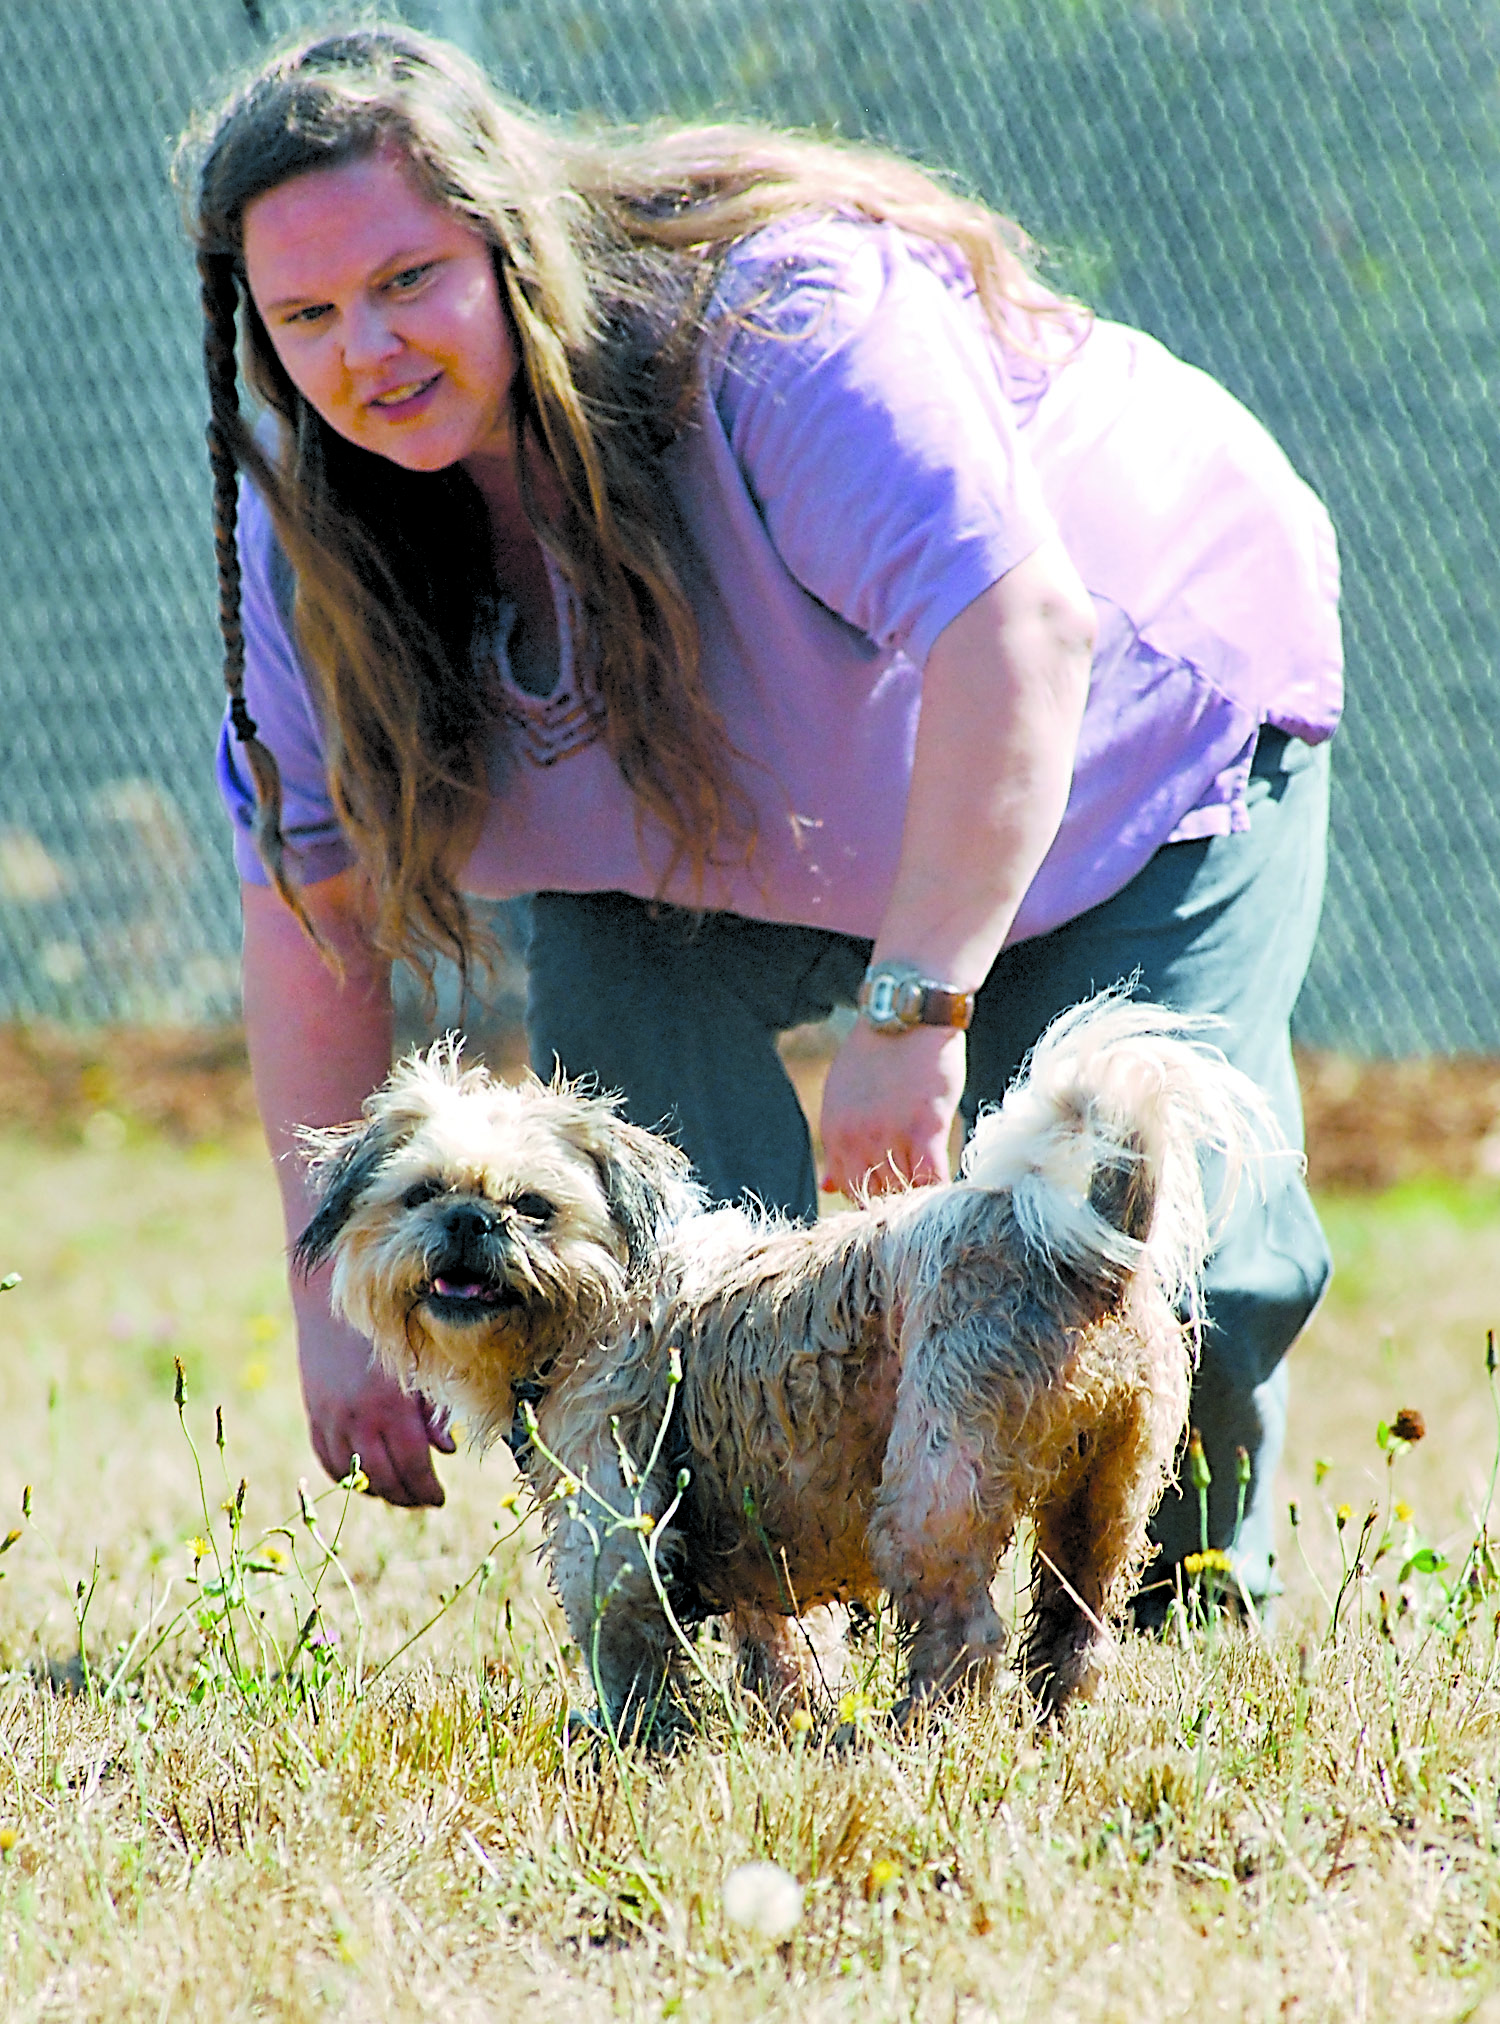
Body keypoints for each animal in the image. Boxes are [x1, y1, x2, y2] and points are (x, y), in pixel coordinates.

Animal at [295, 987, 1279, 1732]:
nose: (469, 1220)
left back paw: (907, 1733)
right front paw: (784, 1716)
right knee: (1074, 1632)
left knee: (964, 1635)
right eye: (422, 1193)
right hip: (1104, 1506)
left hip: (932, 1496)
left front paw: (627, 1737)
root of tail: (1080, 1247)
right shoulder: (758, 1560)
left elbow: (630, 1653)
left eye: (534, 1207)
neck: (603, 1302)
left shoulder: (613, 1535)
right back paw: (1048, 1725)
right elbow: (785, 1651)